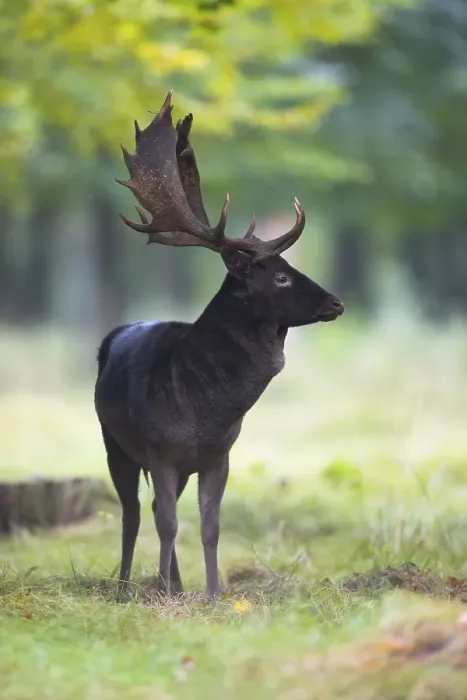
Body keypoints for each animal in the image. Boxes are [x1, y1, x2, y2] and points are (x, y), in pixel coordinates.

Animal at [94, 91, 344, 599]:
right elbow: (168, 523)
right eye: (281, 276)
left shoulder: (219, 456)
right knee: (133, 514)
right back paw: (128, 584)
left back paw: (173, 580)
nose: (336, 302)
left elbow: (209, 526)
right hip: (113, 442)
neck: (205, 410)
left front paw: (211, 592)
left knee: (154, 511)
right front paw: (165, 593)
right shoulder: (160, 450)